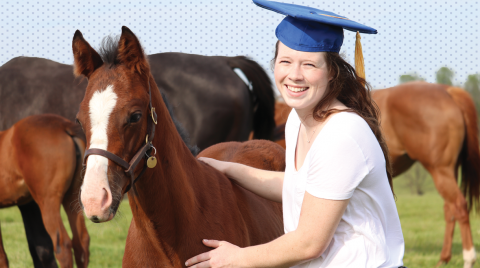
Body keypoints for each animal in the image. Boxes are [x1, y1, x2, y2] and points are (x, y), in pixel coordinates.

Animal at [0, 114, 89, 268]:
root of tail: (64, 126)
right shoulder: (28, 205)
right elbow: (40, 247)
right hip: (72, 200)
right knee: (81, 243)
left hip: (48, 203)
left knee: (63, 245)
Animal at [274, 82, 480, 268]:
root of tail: (448, 90)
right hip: (449, 169)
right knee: (450, 209)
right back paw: (443, 258)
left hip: (440, 169)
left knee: (459, 206)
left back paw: (468, 259)